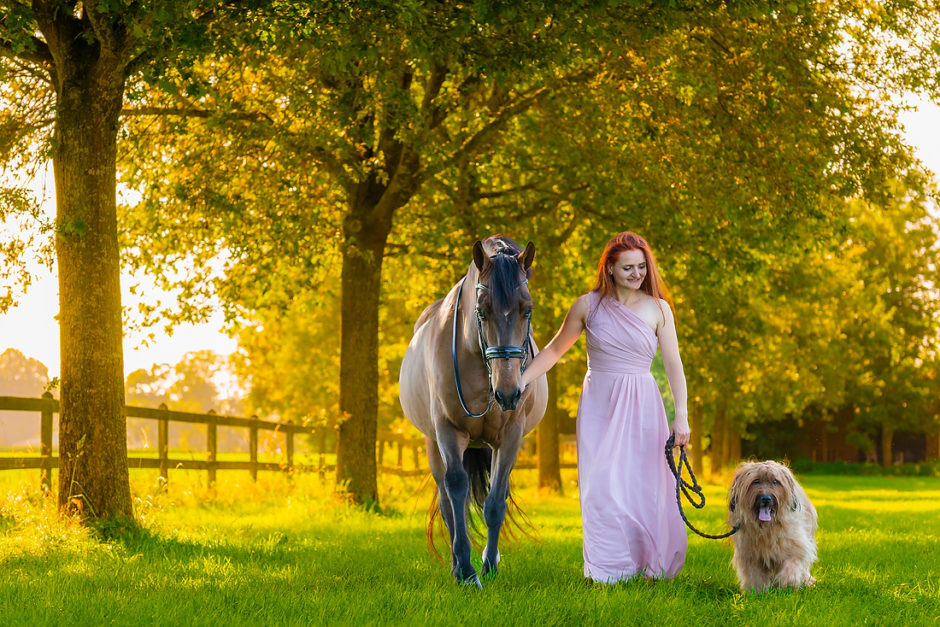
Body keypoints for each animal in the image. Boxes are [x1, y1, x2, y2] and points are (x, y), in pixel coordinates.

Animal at [398, 236, 548, 588]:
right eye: (481, 310)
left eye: (528, 309)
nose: (508, 392)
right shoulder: (448, 430)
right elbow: (456, 490)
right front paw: (466, 571)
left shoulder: (510, 436)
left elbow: (495, 502)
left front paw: (489, 566)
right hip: (432, 443)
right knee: (447, 502)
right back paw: (457, 565)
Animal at [728, 462, 816, 592]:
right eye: (756, 481)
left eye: (775, 481)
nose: (766, 498)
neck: (767, 527)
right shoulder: (750, 554)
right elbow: (755, 574)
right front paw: (756, 591)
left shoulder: (795, 545)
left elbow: (791, 563)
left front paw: (787, 584)